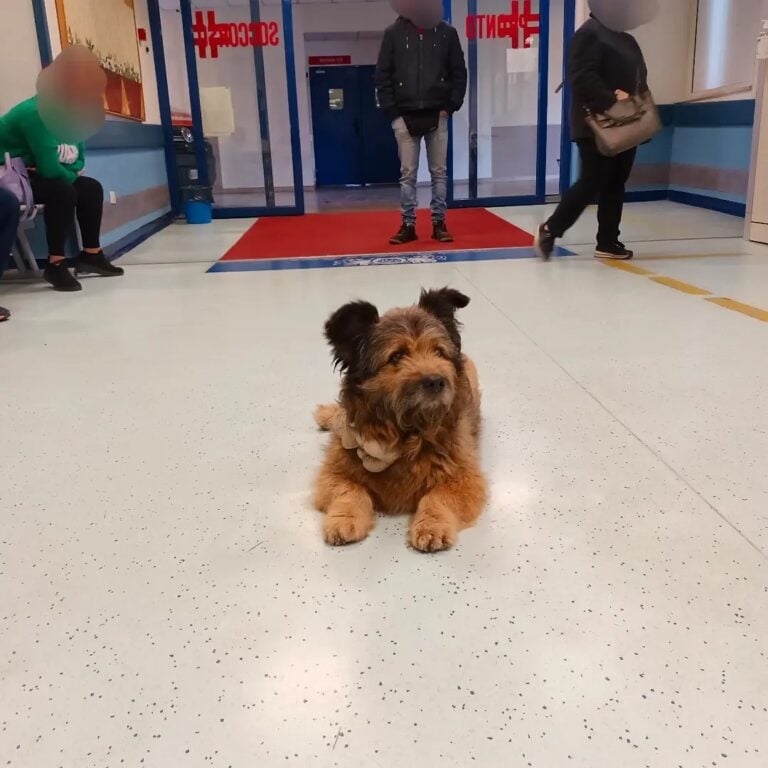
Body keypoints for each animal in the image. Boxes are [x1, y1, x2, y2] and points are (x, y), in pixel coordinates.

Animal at [312, 290, 486, 552]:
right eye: (397, 356)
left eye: (439, 352)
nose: (437, 381)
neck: (407, 432)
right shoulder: (334, 472)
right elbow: (350, 491)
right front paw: (344, 520)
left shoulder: (464, 478)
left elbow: (437, 497)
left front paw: (431, 526)